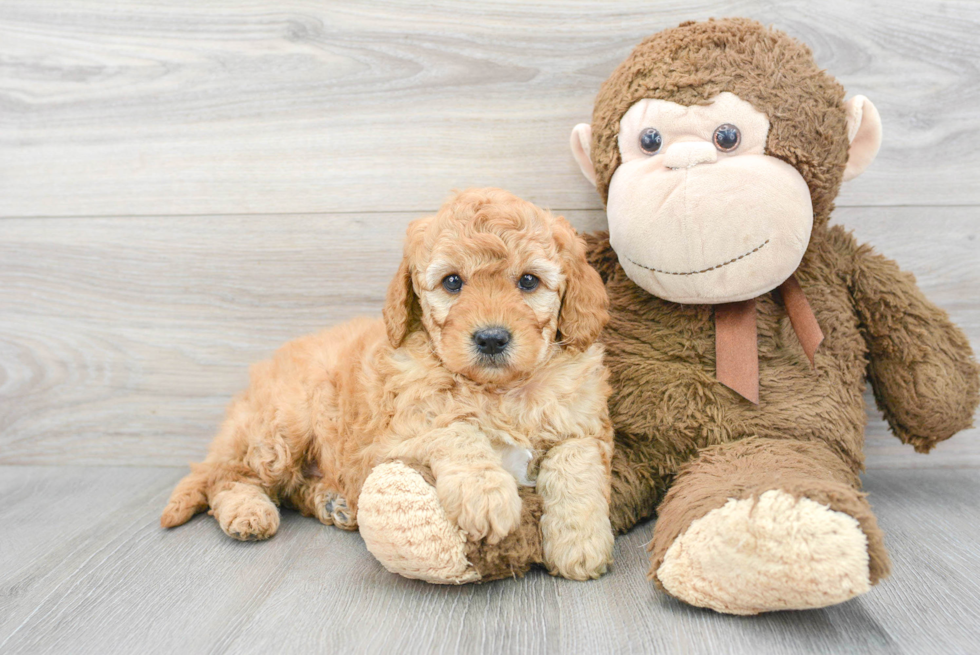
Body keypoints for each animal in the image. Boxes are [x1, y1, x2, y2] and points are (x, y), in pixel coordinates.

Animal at [164, 188, 616, 580]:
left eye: (528, 281)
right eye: (453, 282)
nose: (491, 338)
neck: (498, 391)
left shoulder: (586, 425)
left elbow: (574, 461)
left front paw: (580, 544)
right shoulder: (389, 441)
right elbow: (456, 430)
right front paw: (485, 494)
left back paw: (332, 503)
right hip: (281, 427)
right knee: (228, 476)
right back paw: (248, 513)